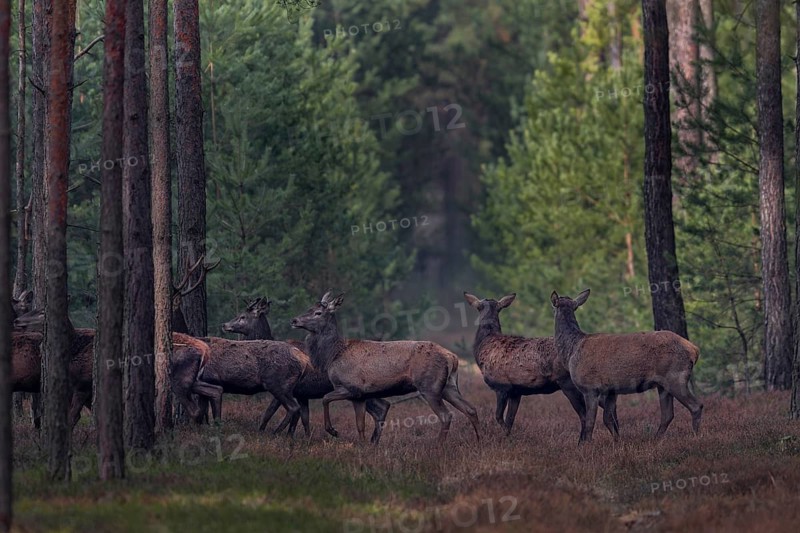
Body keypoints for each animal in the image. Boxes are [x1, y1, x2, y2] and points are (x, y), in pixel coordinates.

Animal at [221, 297, 390, 442]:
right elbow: (303, 419)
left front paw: (265, 433)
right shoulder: (302, 393)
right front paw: (302, 439)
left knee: (382, 407)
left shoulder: (287, 388)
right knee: (383, 405)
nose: (224, 325)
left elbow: (270, 412)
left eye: (243, 316)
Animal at [291, 291, 480, 444]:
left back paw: (438, 446)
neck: (332, 355)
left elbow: (325, 398)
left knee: (446, 415)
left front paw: (333, 430)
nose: (294, 320)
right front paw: (363, 446)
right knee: (470, 409)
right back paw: (479, 441)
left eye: (318, 312)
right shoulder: (360, 396)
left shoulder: (351, 387)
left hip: (429, 386)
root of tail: (452, 357)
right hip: (448, 385)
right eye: (308, 308)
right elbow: (360, 425)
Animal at [463, 292, 615, 437]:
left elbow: (499, 417)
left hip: (570, 383)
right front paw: (509, 439)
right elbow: (510, 420)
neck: (484, 344)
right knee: (610, 414)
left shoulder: (501, 386)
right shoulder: (515, 392)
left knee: (585, 416)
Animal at [550, 289, 703, 444]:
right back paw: (655, 439)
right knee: (668, 414)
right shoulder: (611, 390)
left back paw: (695, 436)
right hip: (662, 385)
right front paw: (617, 441)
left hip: (675, 377)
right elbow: (608, 419)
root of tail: (694, 350)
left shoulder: (590, 388)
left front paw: (587, 444)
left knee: (696, 406)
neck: (571, 350)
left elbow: (590, 422)